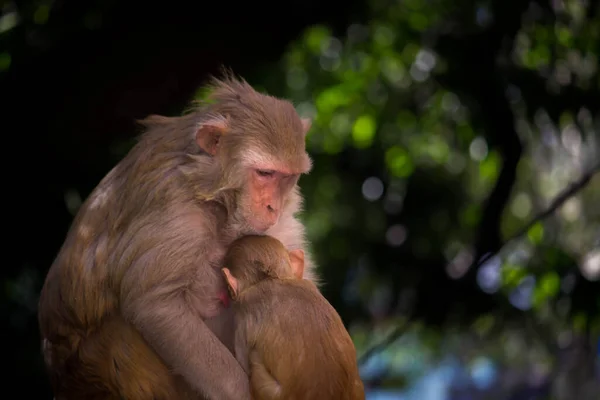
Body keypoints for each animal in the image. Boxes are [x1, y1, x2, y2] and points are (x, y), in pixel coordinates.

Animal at [38, 76, 316, 400]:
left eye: (287, 177)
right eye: (264, 173)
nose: (273, 207)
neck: (214, 196)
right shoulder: (176, 207)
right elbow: (154, 303)